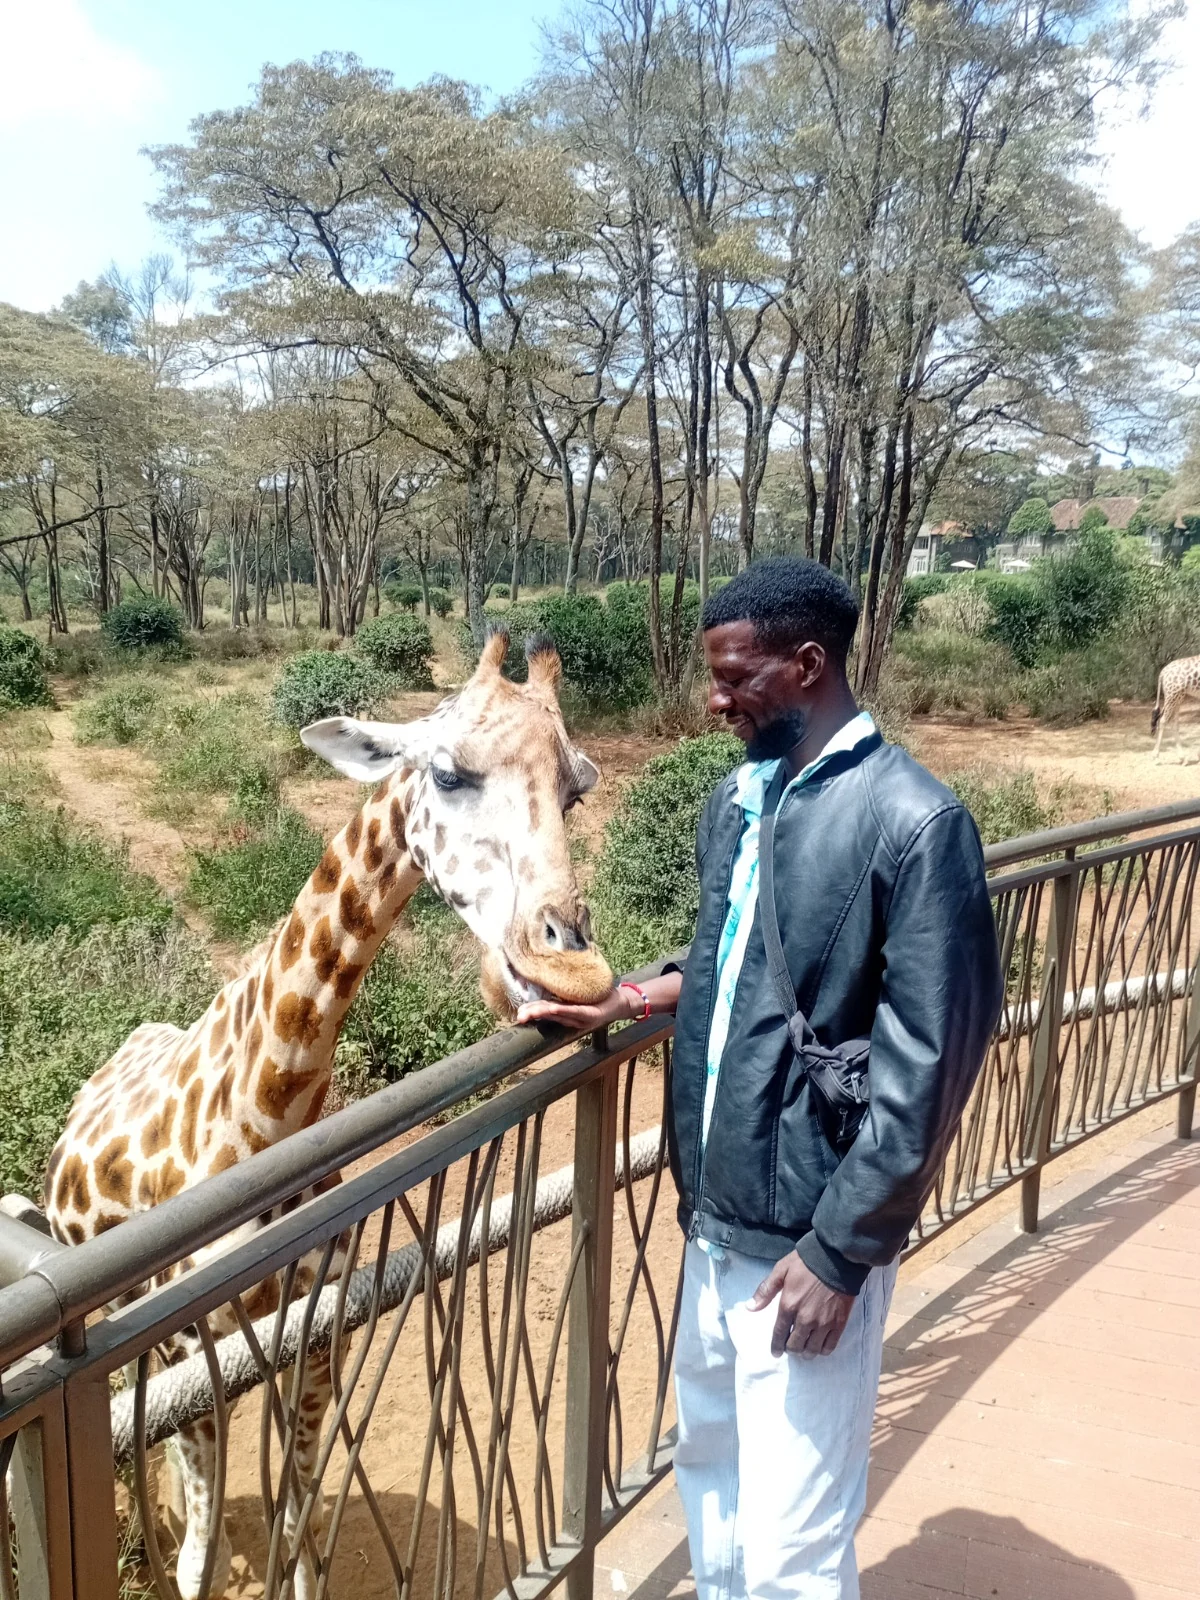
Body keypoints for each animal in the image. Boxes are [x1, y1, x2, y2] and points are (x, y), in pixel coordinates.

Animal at [42, 630, 614, 1600]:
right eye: (447, 773)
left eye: (575, 787)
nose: (568, 969)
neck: (261, 1120)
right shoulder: (191, 1347)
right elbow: (200, 1553)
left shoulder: (316, 1341)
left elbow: (301, 1523)